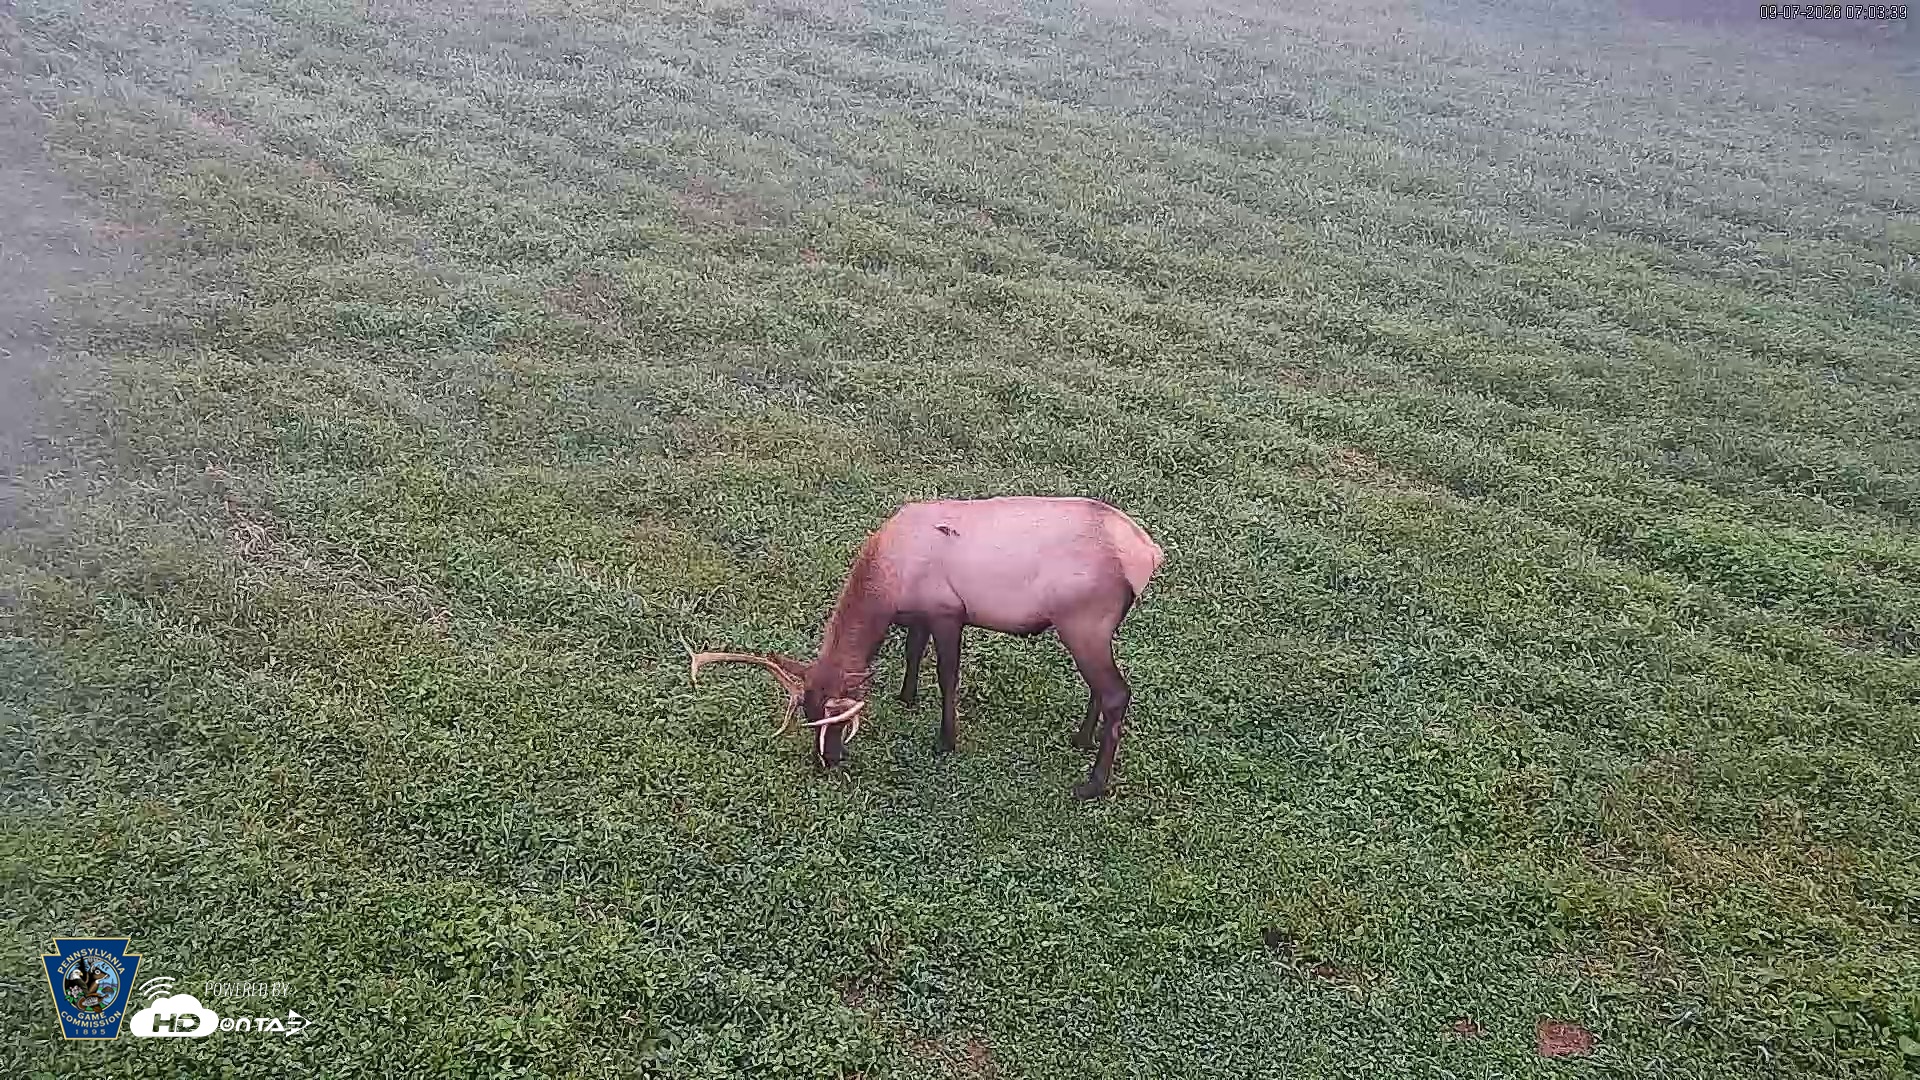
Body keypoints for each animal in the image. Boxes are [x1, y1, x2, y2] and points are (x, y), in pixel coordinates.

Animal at [688, 495, 1165, 800]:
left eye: (841, 720)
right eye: (808, 713)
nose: (829, 759)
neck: (889, 585)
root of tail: (1149, 555)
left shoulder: (947, 611)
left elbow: (947, 675)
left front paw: (946, 740)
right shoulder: (919, 615)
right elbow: (912, 652)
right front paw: (907, 697)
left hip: (1083, 621)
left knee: (1116, 692)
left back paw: (1092, 784)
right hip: (1092, 631)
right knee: (1101, 688)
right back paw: (1081, 739)